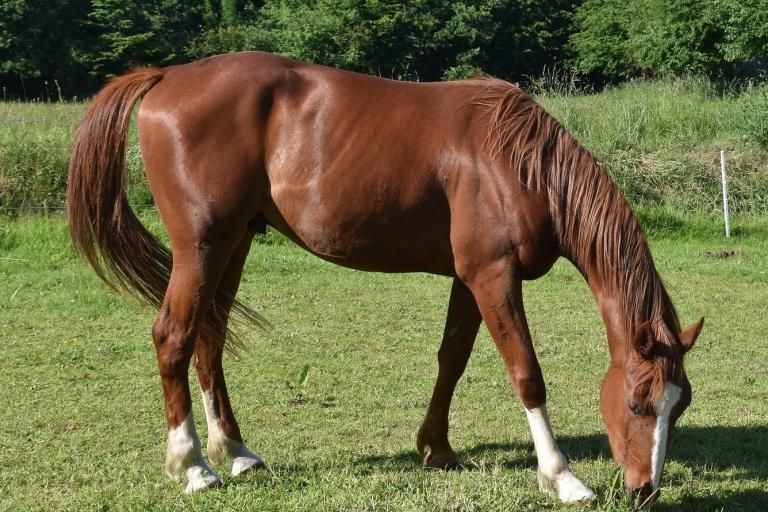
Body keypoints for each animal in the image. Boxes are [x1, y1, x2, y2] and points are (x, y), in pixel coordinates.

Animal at [67, 51, 703, 507]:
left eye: (680, 406)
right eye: (639, 403)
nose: (644, 491)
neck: (516, 162)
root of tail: (166, 77)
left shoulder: (469, 280)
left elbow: (452, 359)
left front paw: (436, 448)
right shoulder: (493, 276)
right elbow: (526, 374)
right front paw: (562, 477)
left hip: (235, 242)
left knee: (210, 337)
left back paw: (236, 450)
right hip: (201, 246)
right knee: (173, 337)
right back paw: (194, 466)